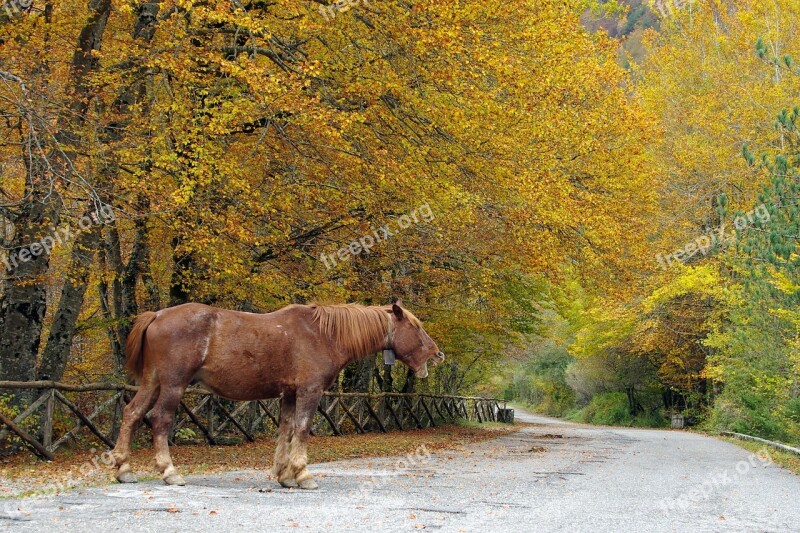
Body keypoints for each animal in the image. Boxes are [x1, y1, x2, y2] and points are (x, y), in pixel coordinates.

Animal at [109, 300, 444, 486]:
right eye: (416, 327)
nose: (437, 354)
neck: (323, 334)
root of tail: (157, 315)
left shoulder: (289, 394)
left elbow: (286, 430)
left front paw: (284, 475)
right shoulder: (309, 391)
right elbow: (302, 429)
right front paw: (303, 474)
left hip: (152, 382)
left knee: (132, 413)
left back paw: (123, 468)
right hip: (173, 384)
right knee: (160, 419)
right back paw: (169, 471)